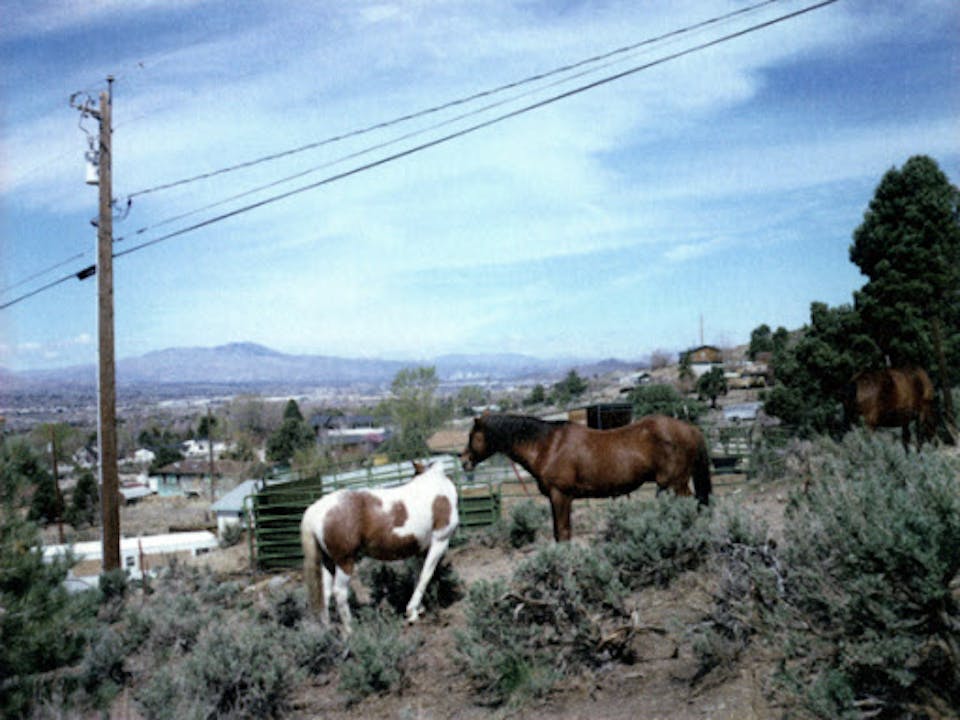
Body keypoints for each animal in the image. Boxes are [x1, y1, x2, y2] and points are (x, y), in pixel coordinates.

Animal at [300, 460, 459, 634]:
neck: (436, 487)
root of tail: (316, 511)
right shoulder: (440, 542)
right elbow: (426, 576)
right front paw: (411, 611)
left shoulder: (419, 550)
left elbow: (418, 575)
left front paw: (417, 611)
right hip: (345, 562)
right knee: (339, 592)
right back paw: (351, 630)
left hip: (329, 562)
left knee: (325, 593)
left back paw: (329, 629)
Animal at [460, 413, 711, 542]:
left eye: (473, 435)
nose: (463, 460)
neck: (547, 445)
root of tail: (691, 429)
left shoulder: (560, 496)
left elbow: (562, 532)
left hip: (676, 484)